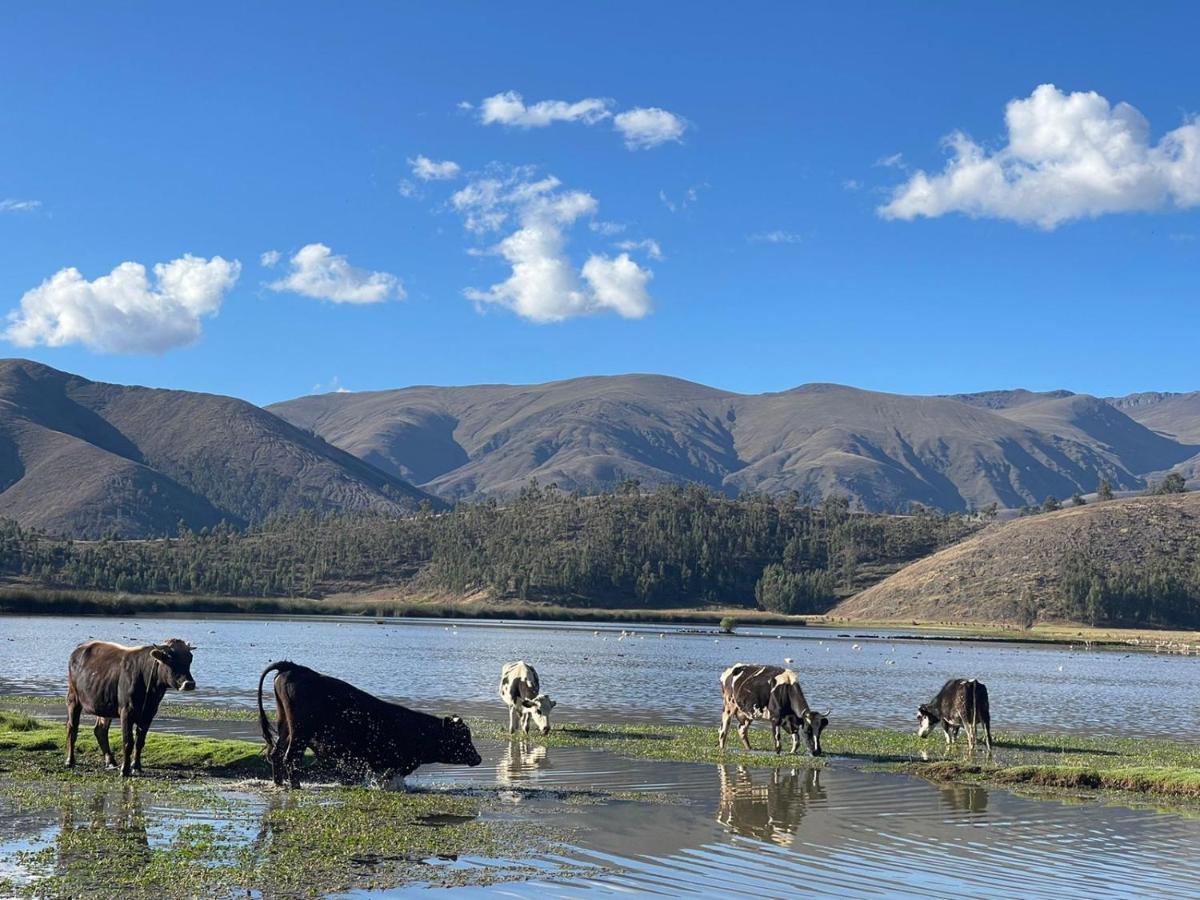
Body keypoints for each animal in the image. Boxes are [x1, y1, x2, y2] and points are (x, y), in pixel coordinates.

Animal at [65, 638, 194, 777]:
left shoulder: (149, 714)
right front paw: (124, 769)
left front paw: (136, 766)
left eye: (190, 658)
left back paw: (110, 761)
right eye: (170, 658)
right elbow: (128, 742)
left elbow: (140, 742)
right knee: (72, 728)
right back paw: (70, 761)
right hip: (73, 698)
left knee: (100, 730)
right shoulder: (126, 711)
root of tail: (80, 648)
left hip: (104, 704)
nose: (189, 684)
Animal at [258, 662, 482, 787]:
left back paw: (280, 783)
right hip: (300, 732)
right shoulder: (394, 765)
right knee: (290, 758)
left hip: (285, 726)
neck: (419, 731)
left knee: (277, 754)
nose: (478, 758)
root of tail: (294, 667)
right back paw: (295, 786)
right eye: (463, 737)